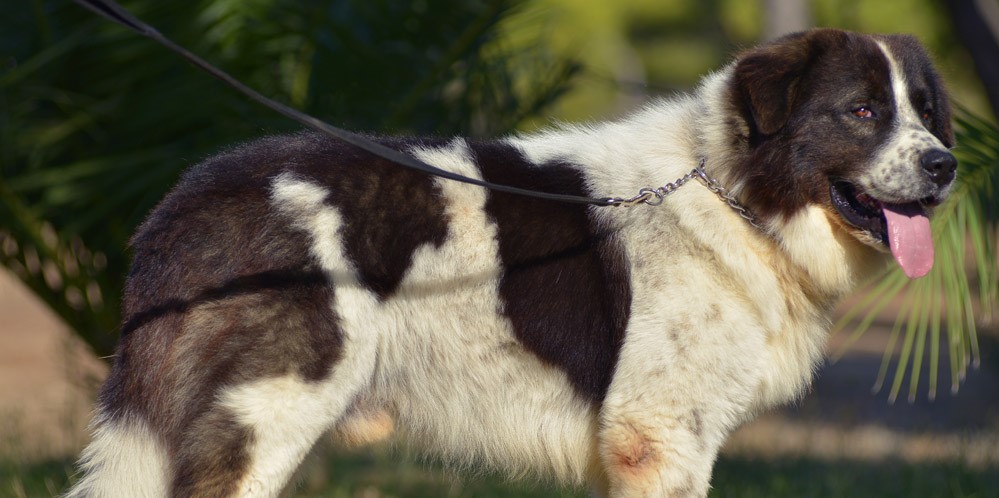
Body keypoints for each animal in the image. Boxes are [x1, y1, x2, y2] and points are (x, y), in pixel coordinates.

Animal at [66, 29, 956, 496]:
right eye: (862, 112)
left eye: (924, 112)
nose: (946, 164)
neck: (731, 190)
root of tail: (194, 194)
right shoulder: (659, 435)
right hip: (269, 412)